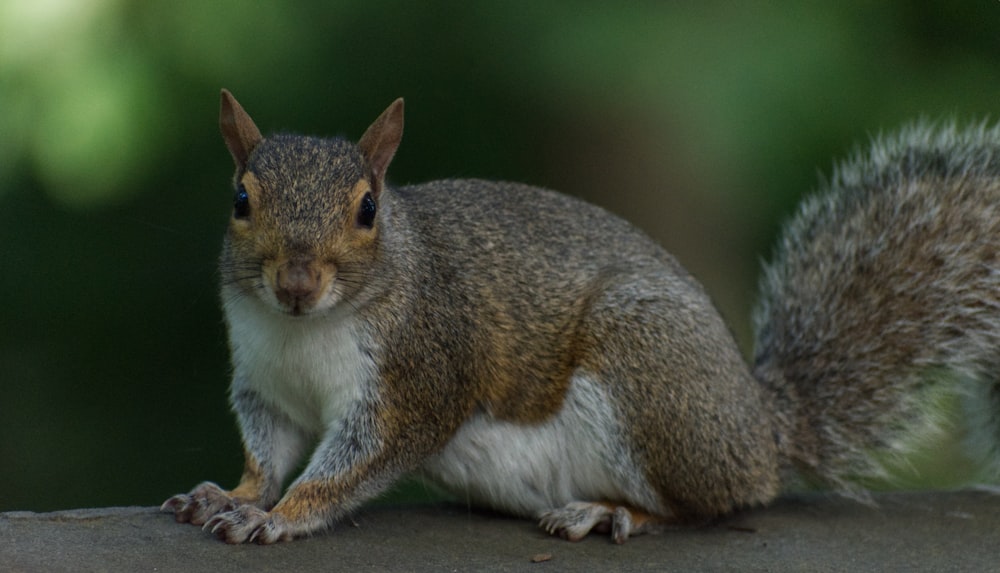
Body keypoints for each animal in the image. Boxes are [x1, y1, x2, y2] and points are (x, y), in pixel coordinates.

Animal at [162, 88, 1000, 540]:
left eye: (368, 208)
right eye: (240, 199)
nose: (297, 282)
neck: (303, 331)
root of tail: (763, 428)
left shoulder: (418, 374)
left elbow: (355, 461)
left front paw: (283, 515)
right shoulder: (265, 382)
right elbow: (268, 451)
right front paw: (232, 496)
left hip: (646, 371)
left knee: (708, 506)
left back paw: (612, 513)